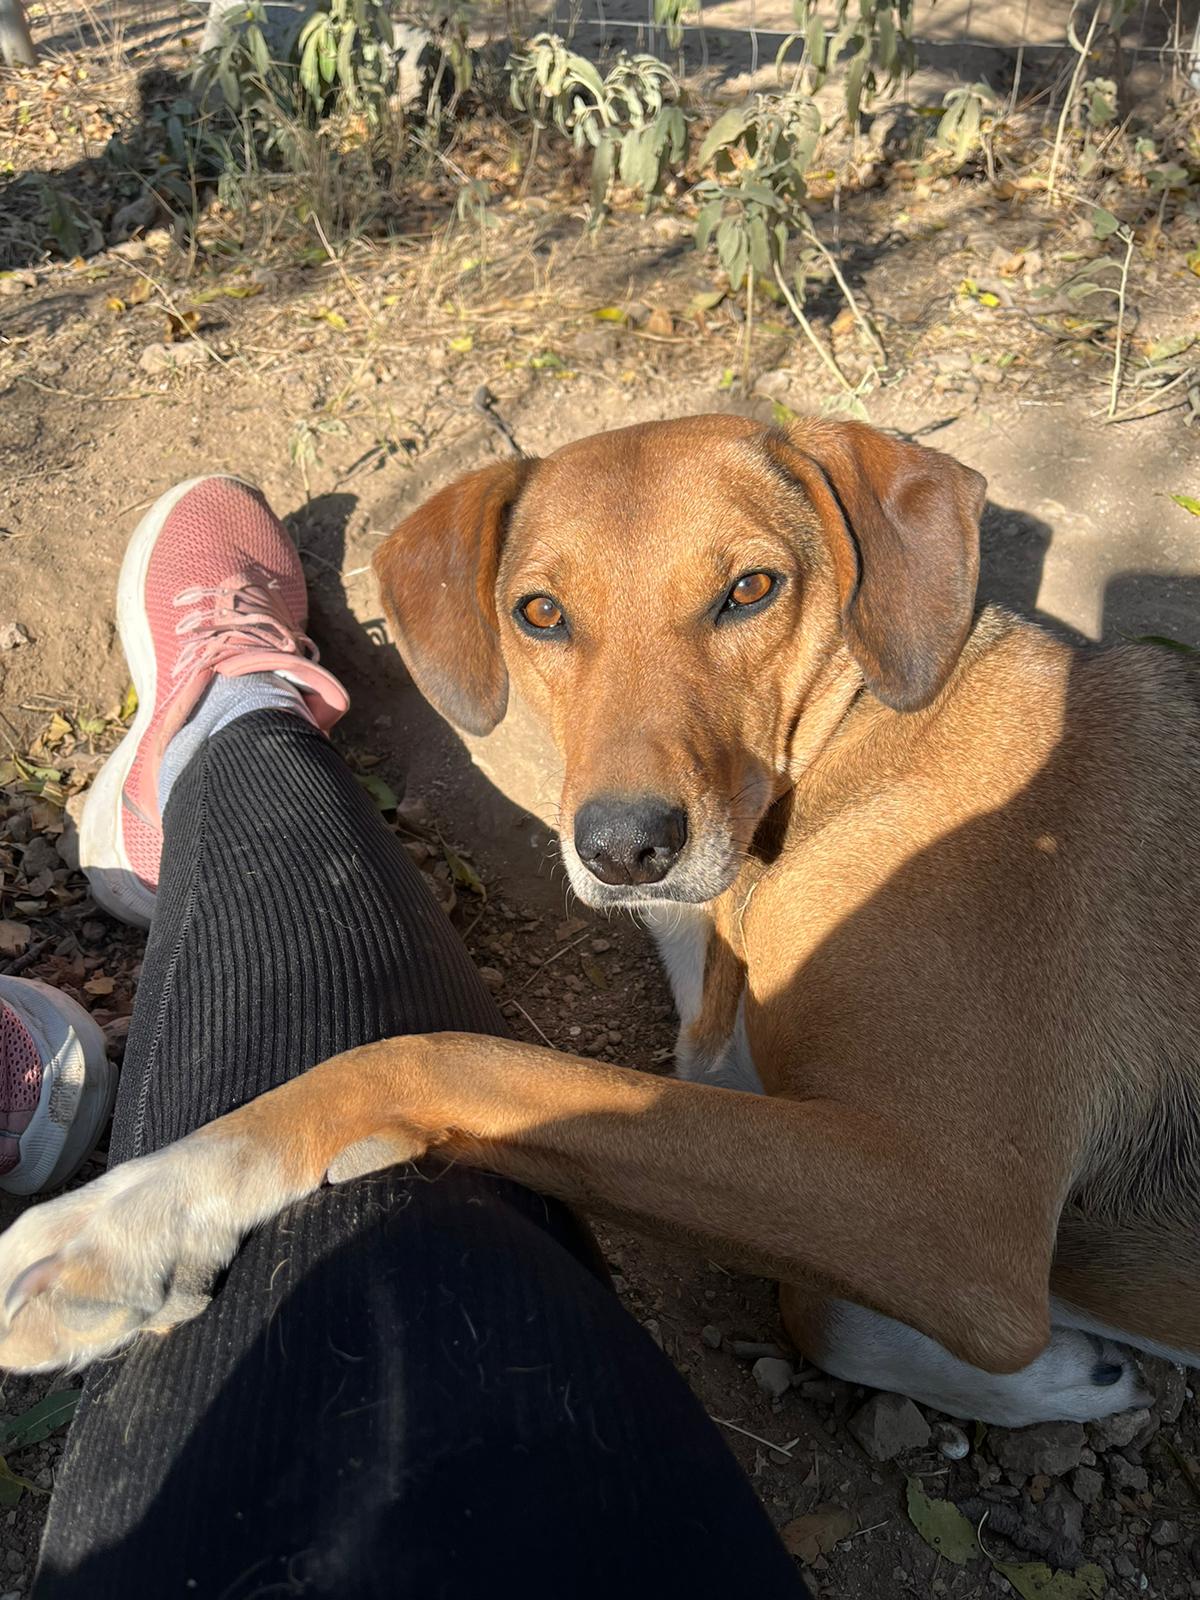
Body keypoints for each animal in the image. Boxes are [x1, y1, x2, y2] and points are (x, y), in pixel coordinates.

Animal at [0, 414, 1197, 1430]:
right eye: (541, 613)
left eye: (751, 589)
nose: (624, 848)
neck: (831, 766)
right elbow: (818, 1304)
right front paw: (1064, 1376)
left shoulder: (947, 1205)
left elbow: (443, 1055)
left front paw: (128, 1219)